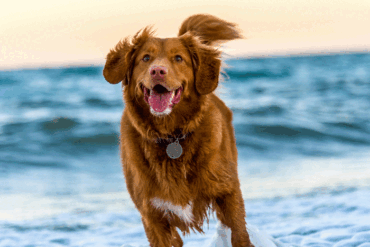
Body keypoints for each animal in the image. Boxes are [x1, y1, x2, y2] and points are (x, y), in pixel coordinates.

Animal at [103, 14, 254, 247]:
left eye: (178, 58)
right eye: (145, 58)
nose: (157, 71)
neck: (170, 135)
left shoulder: (228, 193)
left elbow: (239, 235)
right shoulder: (153, 216)